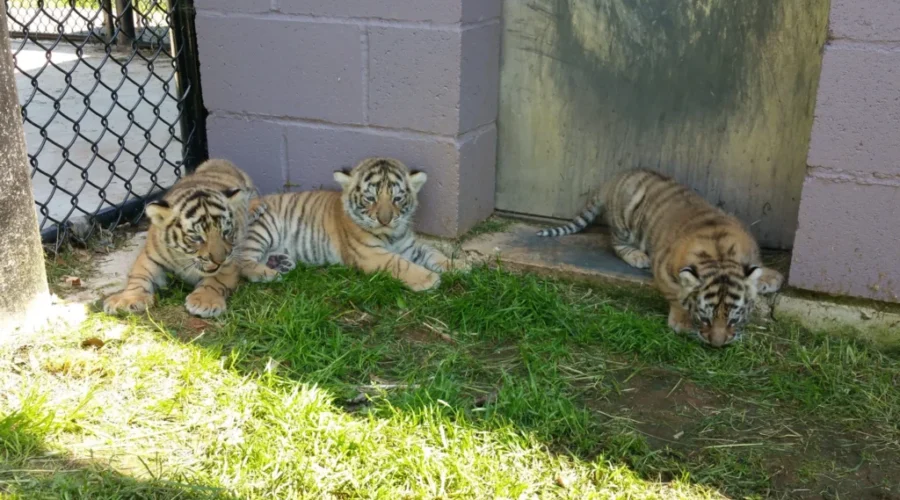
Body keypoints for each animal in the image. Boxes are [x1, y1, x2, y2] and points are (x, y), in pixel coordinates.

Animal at [103, 158, 264, 318]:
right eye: (197, 237)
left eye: (225, 232)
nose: (220, 260)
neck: (186, 259)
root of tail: (221, 160)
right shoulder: (150, 256)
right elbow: (139, 275)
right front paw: (127, 299)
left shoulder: (230, 260)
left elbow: (215, 280)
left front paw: (204, 301)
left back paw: (255, 207)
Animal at [239, 157, 468, 291]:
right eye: (370, 198)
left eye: (397, 198)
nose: (385, 220)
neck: (392, 235)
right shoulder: (370, 253)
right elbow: (399, 263)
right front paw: (429, 279)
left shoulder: (410, 246)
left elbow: (434, 253)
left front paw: (459, 266)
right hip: (261, 228)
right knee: (242, 263)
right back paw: (269, 274)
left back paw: (281, 262)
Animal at [537, 168, 784, 347]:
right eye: (705, 318)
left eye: (734, 319)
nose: (717, 344)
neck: (719, 254)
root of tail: (614, 179)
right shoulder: (663, 268)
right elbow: (676, 295)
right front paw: (682, 322)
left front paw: (771, 278)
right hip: (625, 222)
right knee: (616, 243)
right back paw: (638, 257)